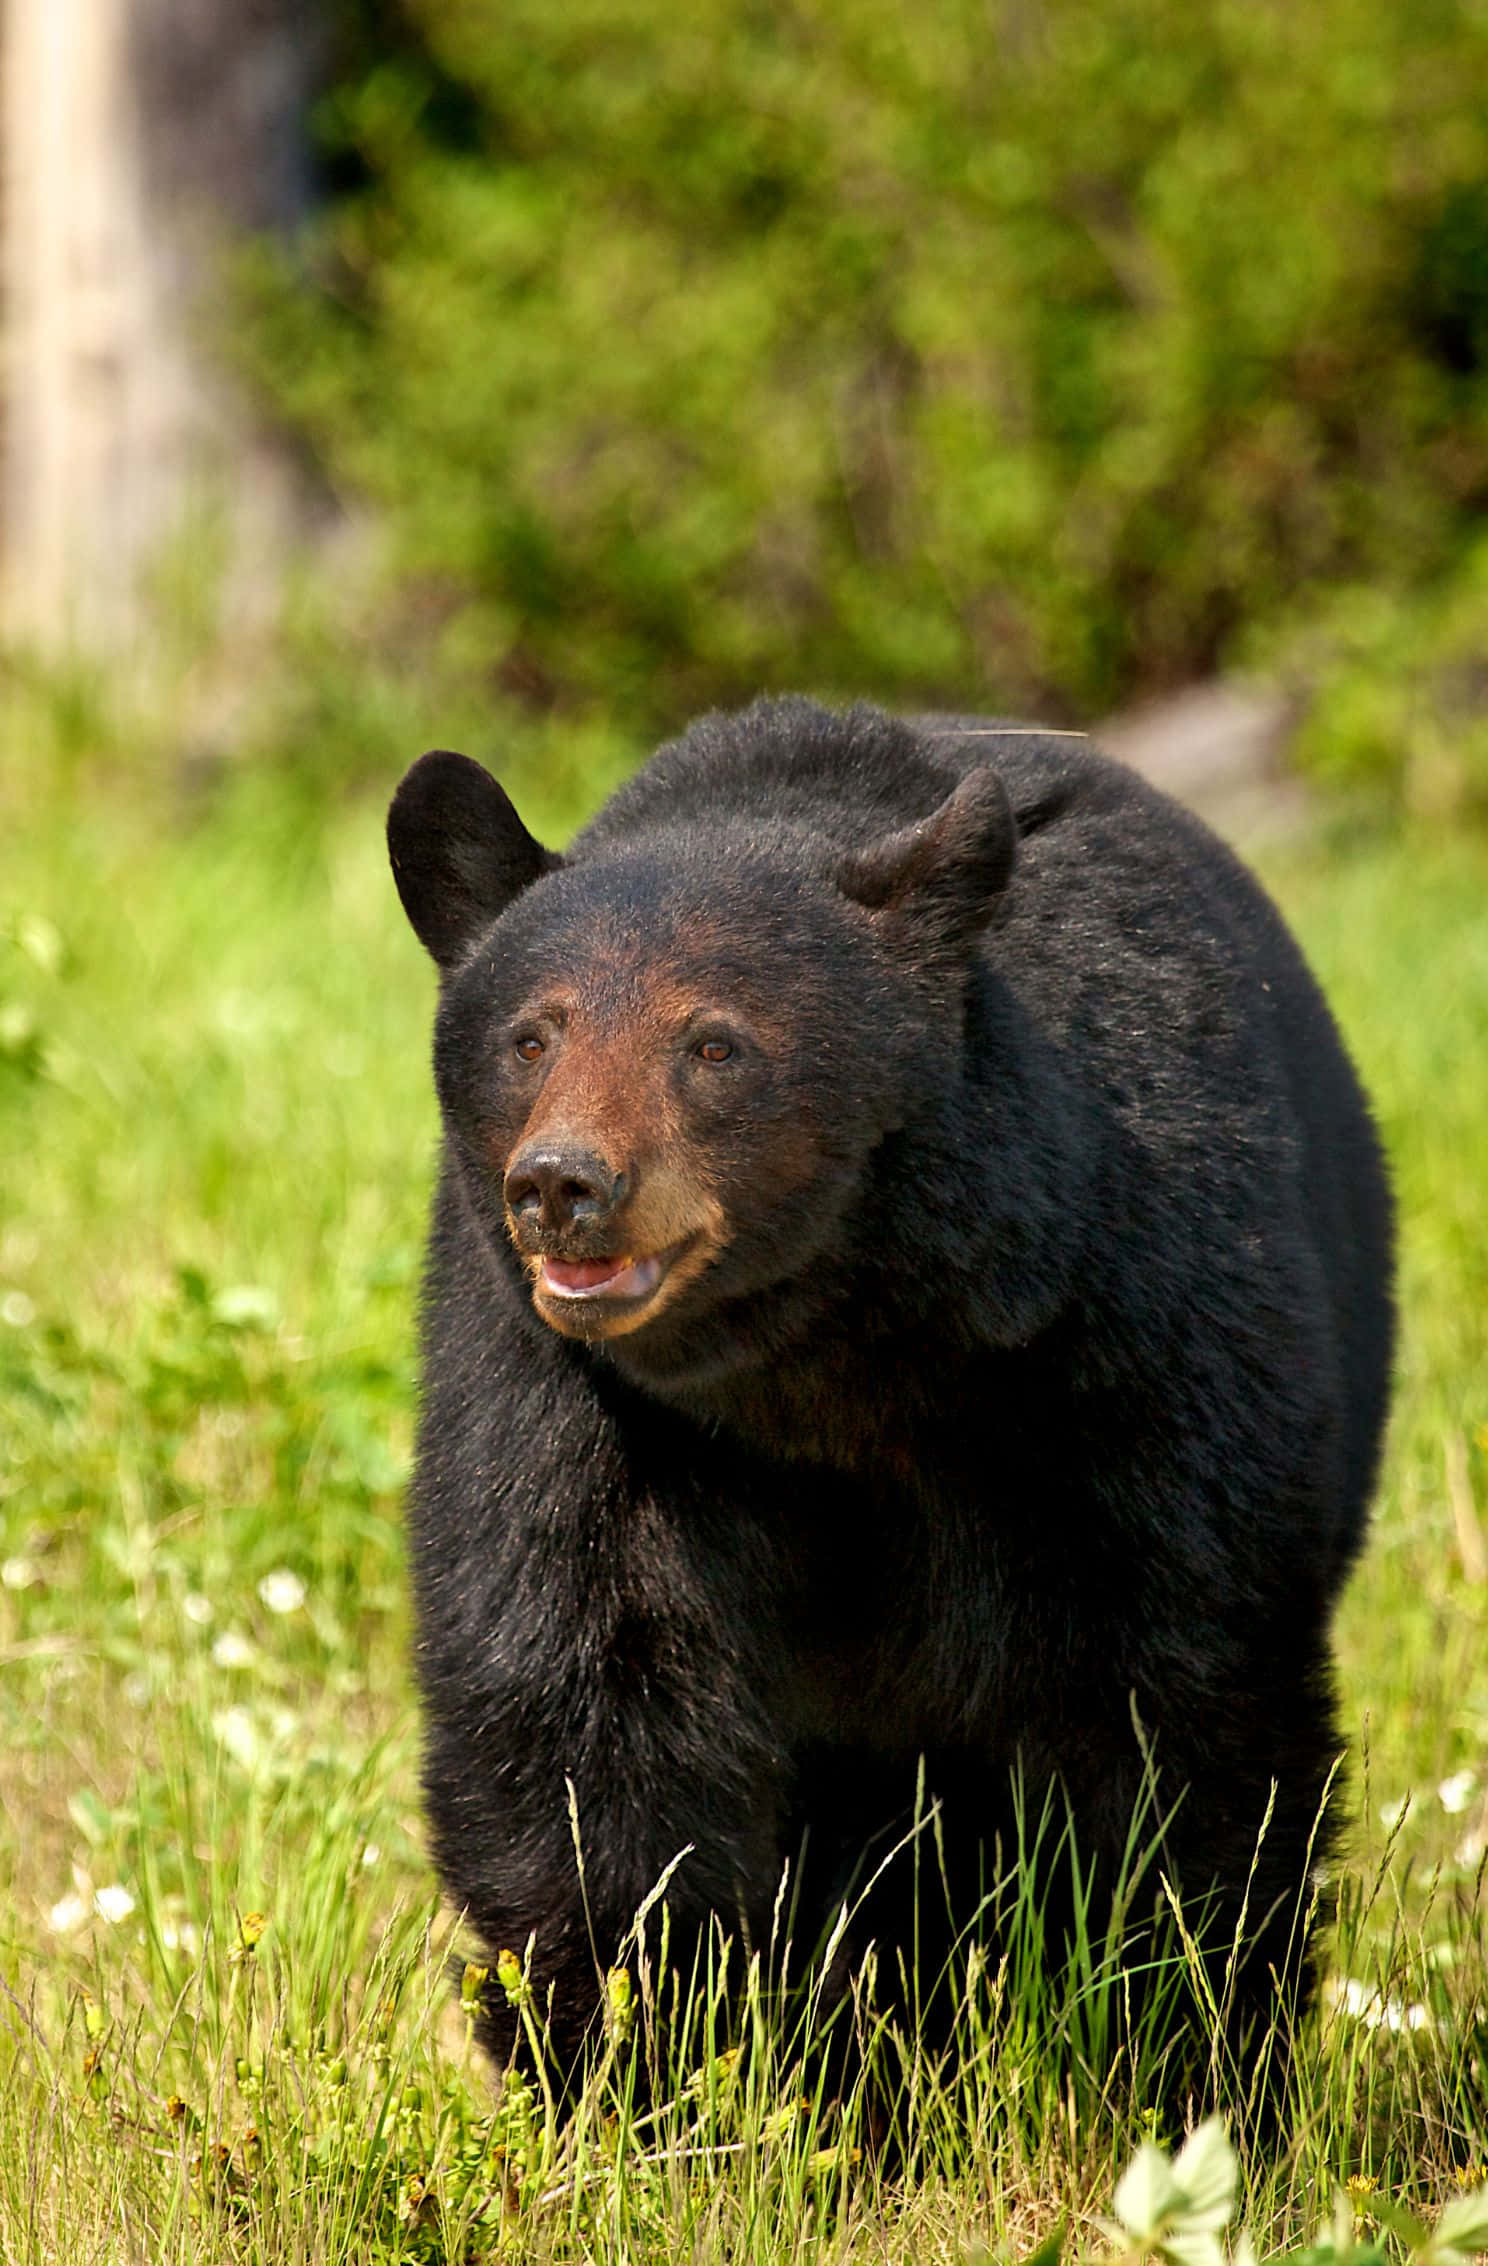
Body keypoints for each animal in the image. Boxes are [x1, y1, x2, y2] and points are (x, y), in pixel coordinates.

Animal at [386, 695, 1394, 2104]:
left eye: (713, 1042)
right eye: (532, 1034)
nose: (563, 1185)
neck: (826, 1359)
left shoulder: (1121, 1338)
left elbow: (1175, 1695)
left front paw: (1175, 2054)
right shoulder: (569, 1397)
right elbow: (585, 1692)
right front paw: (643, 2066)